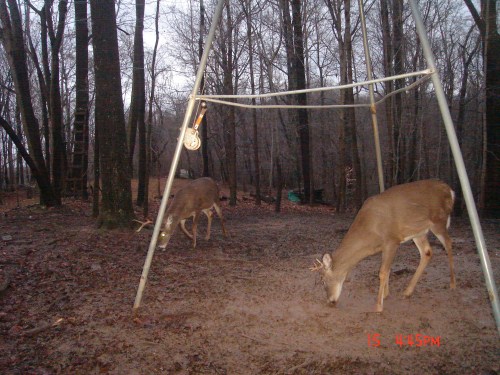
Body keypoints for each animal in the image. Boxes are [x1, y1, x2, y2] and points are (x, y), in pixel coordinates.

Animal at [312, 181, 458, 312]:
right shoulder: (385, 246)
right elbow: (387, 270)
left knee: (449, 244)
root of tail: (450, 190)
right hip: (418, 232)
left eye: (323, 280)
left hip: (439, 221)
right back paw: (407, 292)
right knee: (427, 252)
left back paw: (452, 284)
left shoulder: (391, 241)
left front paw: (378, 306)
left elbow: (382, 272)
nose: (330, 301)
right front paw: (386, 294)